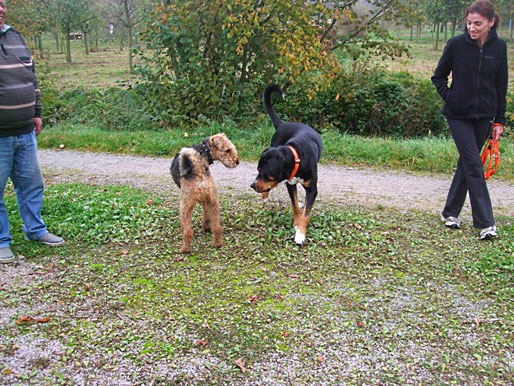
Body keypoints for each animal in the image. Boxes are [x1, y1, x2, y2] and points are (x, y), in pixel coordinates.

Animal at [250, 85, 322, 244]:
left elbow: (306, 213)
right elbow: (294, 205)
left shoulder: (312, 189)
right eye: (257, 170)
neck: (296, 156)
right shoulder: (290, 184)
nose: (252, 185)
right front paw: (296, 224)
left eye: (264, 173)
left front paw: (300, 234)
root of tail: (283, 124)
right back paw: (265, 197)